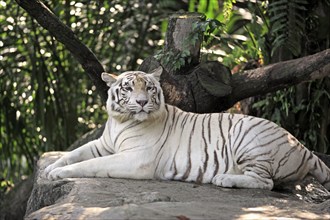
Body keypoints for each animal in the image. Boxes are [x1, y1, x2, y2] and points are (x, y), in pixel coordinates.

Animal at [45, 66, 330, 190]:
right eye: (128, 88)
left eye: (149, 87)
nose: (142, 102)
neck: (121, 121)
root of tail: (303, 147)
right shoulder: (102, 144)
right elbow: (76, 153)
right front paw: (50, 168)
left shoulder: (136, 159)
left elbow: (91, 164)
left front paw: (59, 173)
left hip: (249, 137)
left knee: (266, 182)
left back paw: (225, 178)